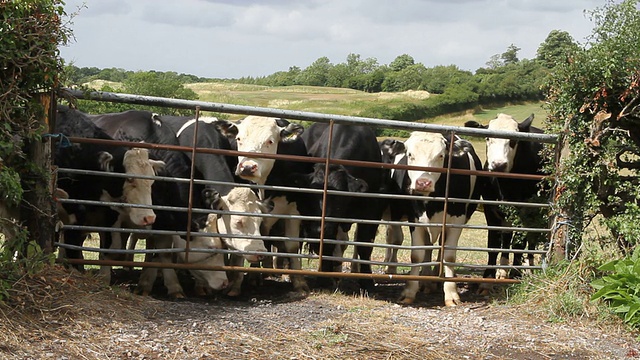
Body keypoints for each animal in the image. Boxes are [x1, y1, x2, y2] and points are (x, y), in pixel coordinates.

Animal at [292, 121, 388, 290]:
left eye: (338, 198)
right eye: (310, 196)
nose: (318, 229)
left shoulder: (372, 210)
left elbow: (364, 245)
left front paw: (367, 281)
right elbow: (326, 246)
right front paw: (323, 279)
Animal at [392, 131, 482, 306]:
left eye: (441, 155)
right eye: (410, 154)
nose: (423, 183)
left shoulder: (457, 220)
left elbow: (449, 255)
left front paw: (451, 293)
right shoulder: (414, 219)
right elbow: (417, 255)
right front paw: (409, 291)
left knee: (441, 247)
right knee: (428, 246)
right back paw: (426, 280)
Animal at [462, 112, 548, 286]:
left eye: (514, 141)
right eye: (488, 138)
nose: (498, 164)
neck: (506, 185)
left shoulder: (527, 210)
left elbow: (519, 243)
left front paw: (515, 274)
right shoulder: (491, 209)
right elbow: (494, 242)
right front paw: (488, 275)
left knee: (531, 239)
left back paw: (527, 268)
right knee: (507, 236)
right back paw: (502, 269)